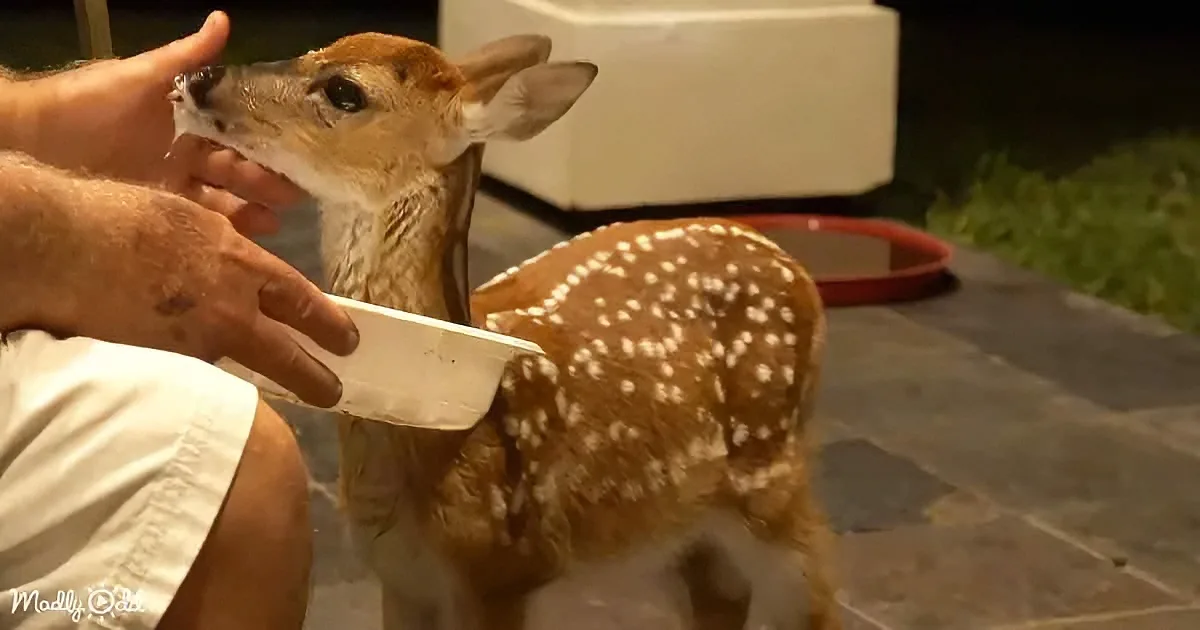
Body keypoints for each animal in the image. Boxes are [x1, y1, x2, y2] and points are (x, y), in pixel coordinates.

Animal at [169, 32, 842, 630]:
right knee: (720, 598)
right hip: (690, 519)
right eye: (317, 48)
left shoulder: (505, 567)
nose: (200, 78)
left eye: (344, 90)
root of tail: (793, 266)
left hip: (771, 471)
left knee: (815, 595)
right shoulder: (401, 575)